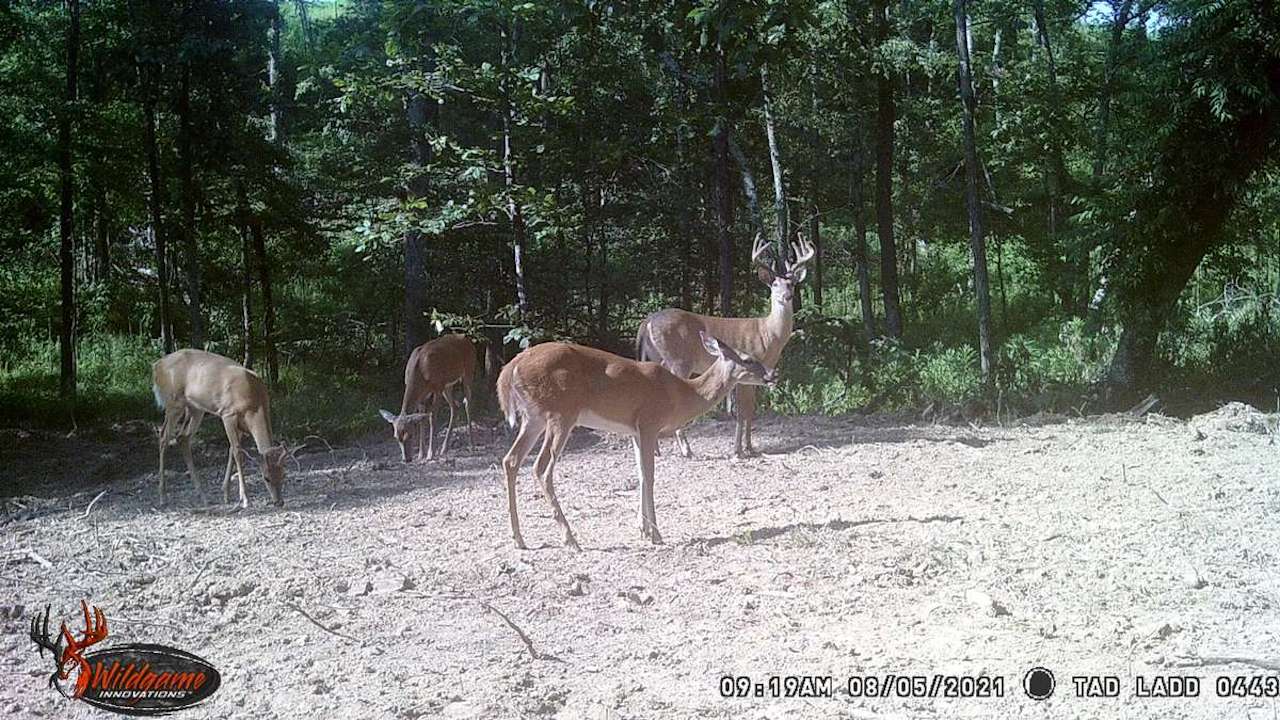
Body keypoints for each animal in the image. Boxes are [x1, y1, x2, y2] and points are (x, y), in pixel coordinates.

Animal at [152, 349, 292, 508]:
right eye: (266, 477)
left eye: (283, 474)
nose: (279, 502)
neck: (254, 403)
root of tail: (157, 366)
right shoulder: (228, 413)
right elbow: (237, 452)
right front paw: (245, 499)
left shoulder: (241, 425)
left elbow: (231, 449)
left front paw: (226, 494)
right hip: (173, 402)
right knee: (164, 436)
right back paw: (163, 496)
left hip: (195, 408)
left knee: (182, 437)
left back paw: (202, 495)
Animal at [379, 333, 476, 463]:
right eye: (396, 437)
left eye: (410, 435)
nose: (406, 459)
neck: (420, 372)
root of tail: (468, 340)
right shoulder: (423, 396)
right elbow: (421, 420)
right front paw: (421, 454)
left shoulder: (437, 388)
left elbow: (432, 418)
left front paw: (430, 453)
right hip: (448, 386)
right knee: (455, 406)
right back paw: (444, 449)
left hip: (468, 372)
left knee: (467, 403)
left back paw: (471, 445)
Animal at [496, 332, 777, 550]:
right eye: (749, 359)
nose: (772, 376)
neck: (682, 394)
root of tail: (510, 369)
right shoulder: (649, 423)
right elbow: (650, 476)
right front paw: (656, 534)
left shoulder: (634, 431)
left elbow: (641, 474)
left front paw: (643, 529)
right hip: (561, 413)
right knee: (541, 468)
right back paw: (570, 539)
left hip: (534, 418)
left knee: (511, 460)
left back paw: (518, 538)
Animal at [635, 232, 814, 458]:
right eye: (774, 285)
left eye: (791, 284)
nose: (787, 296)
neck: (769, 335)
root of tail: (646, 322)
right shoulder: (745, 369)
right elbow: (742, 412)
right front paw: (739, 449)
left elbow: (750, 410)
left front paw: (749, 446)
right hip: (679, 360)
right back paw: (686, 449)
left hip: (659, 358)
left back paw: (658, 449)